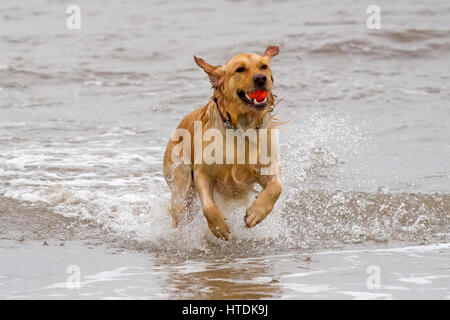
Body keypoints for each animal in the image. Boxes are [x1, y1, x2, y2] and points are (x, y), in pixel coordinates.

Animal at [162, 45, 282, 240]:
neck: (242, 127)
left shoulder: (267, 167)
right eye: (240, 69)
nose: (261, 78)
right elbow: (208, 206)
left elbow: (276, 187)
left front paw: (257, 212)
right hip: (181, 183)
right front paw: (219, 227)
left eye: (263, 66)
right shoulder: (203, 173)